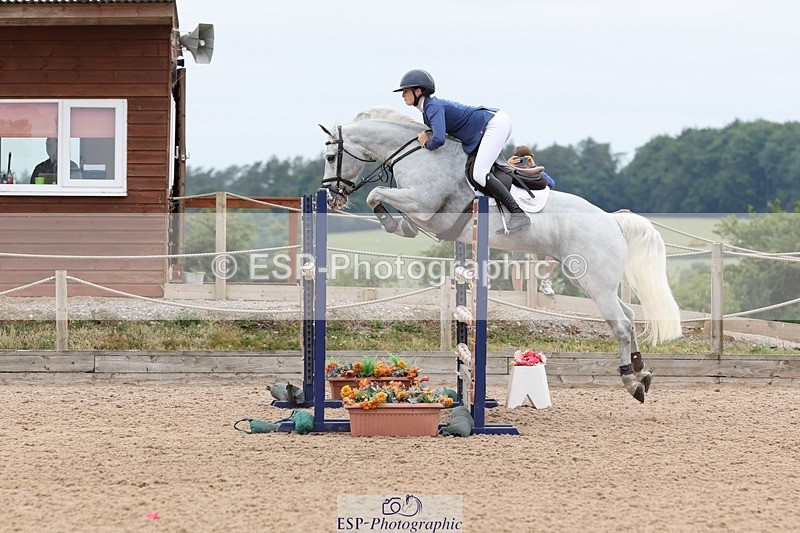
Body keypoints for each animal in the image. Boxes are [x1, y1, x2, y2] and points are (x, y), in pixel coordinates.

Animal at [319, 107, 682, 402]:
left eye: (329, 157)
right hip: (593, 280)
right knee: (631, 318)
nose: (333, 197)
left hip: (594, 281)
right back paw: (642, 372)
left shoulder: (423, 203)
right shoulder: (421, 212)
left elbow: (377, 194)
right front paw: (395, 225)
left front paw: (388, 221)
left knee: (620, 324)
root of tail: (612, 220)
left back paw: (630, 381)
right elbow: (396, 214)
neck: (418, 154)